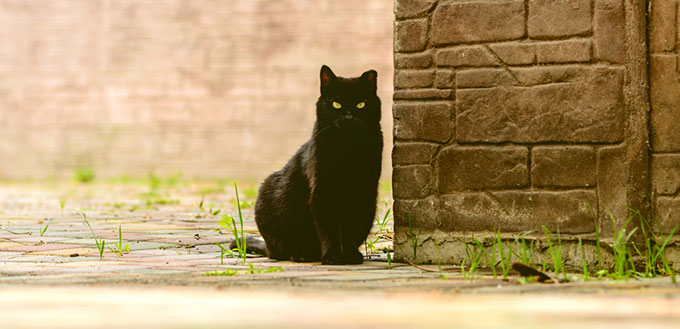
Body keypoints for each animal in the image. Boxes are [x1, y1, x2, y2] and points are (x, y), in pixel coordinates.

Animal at [254, 64, 382, 264]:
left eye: (361, 104)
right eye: (336, 104)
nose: (348, 116)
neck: (348, 148)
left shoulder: (361, 192)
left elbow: (350, 229)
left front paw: (350, 255)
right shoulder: (322, 191)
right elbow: (328, 229)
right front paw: (333, 256)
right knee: (281, 250)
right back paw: (300, 253)